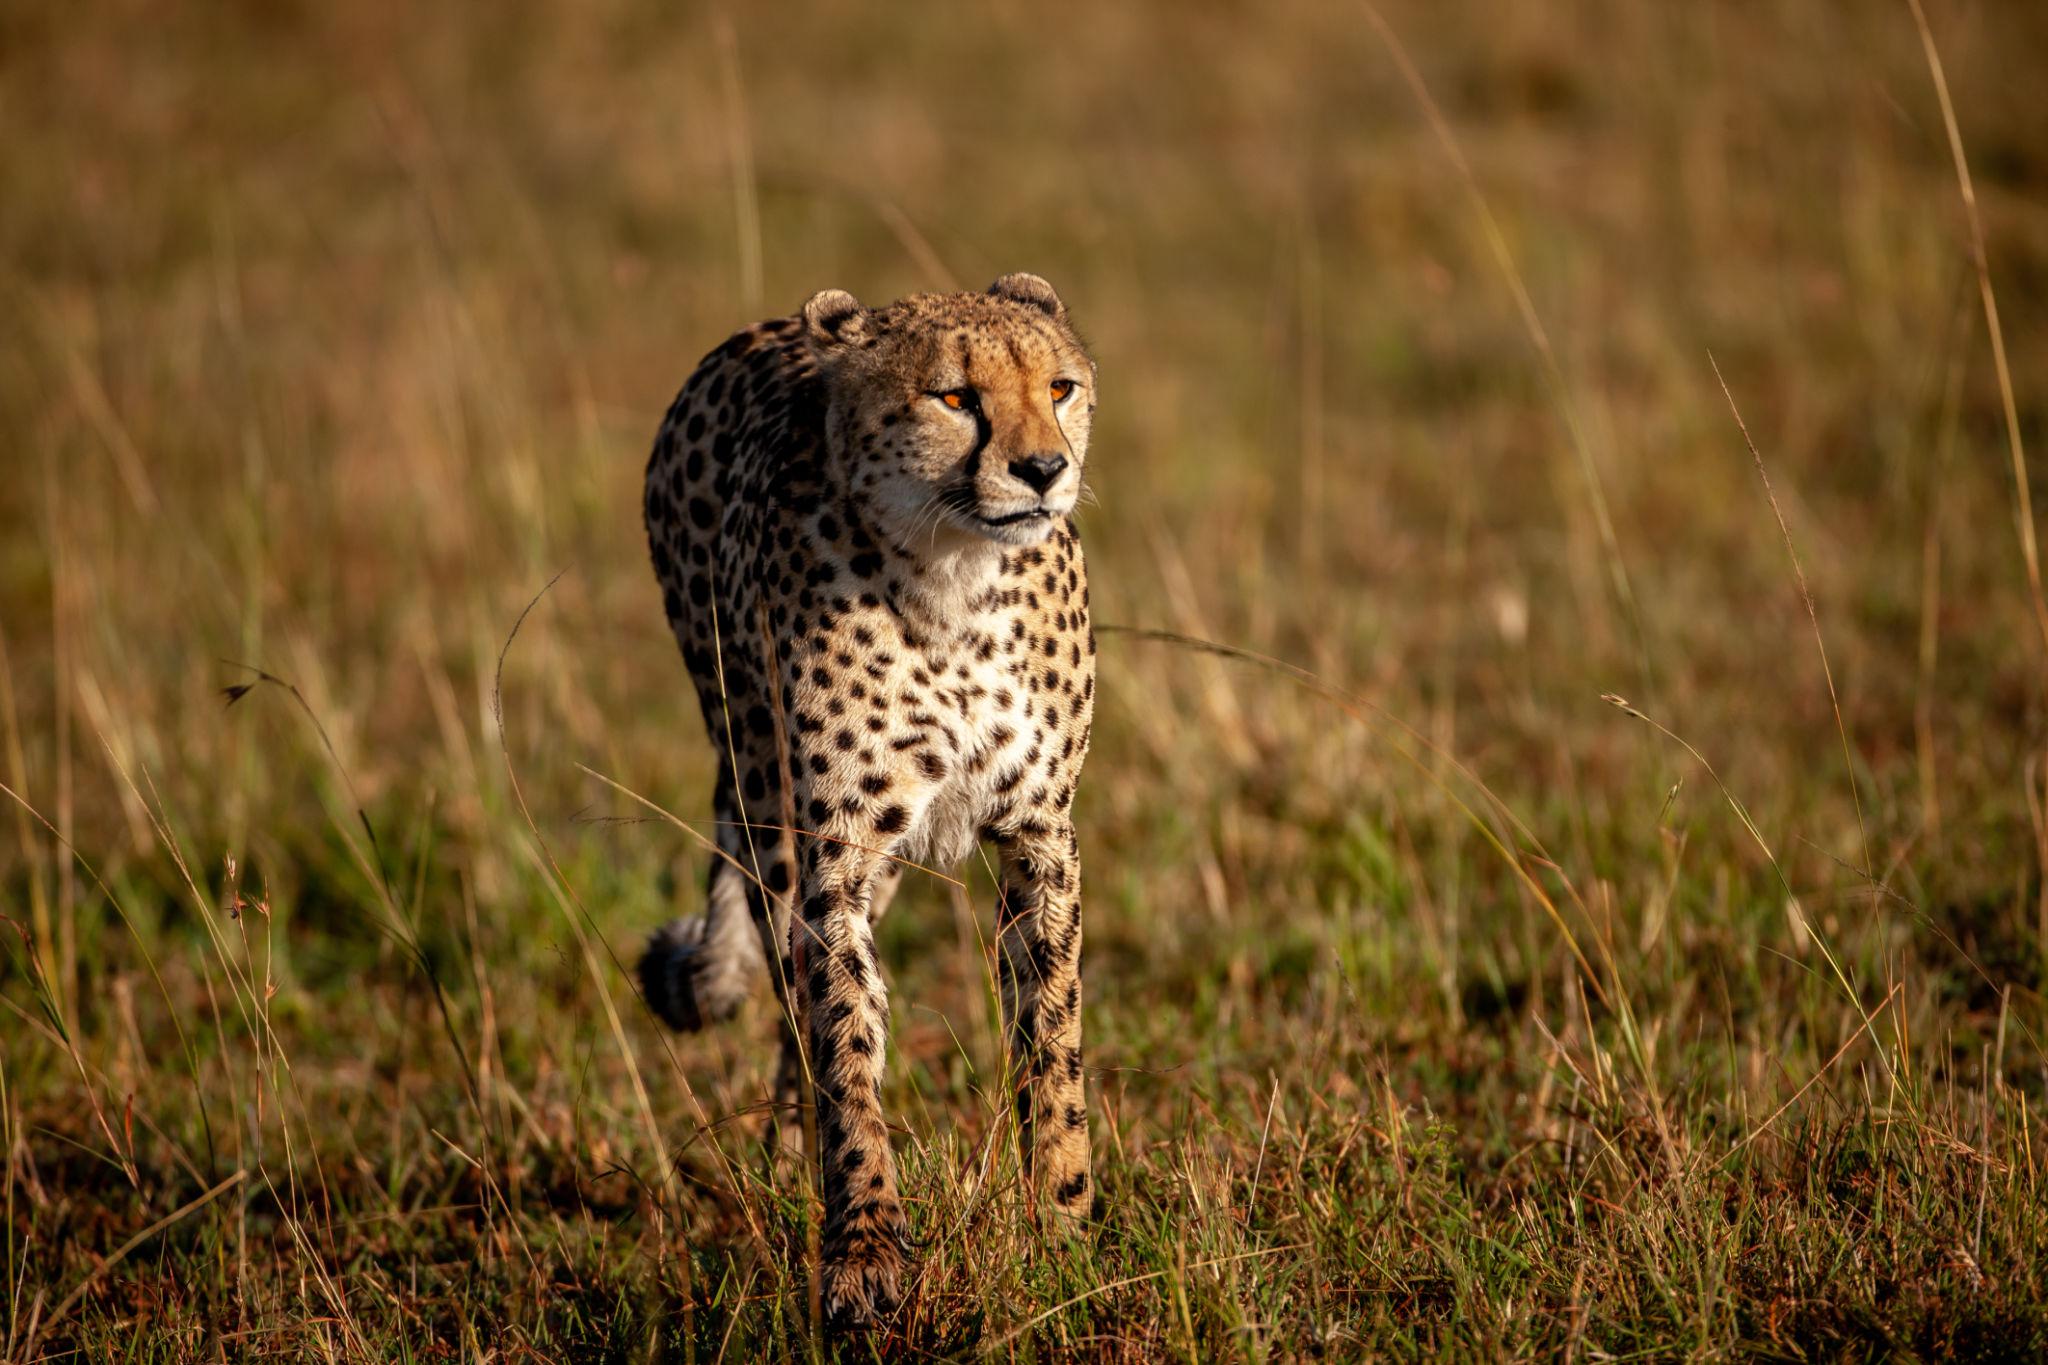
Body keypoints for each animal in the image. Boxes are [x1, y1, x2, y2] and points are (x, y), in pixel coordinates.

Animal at [637, 273, 1099, 1329]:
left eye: (1058, 386)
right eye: (955, 397)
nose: (1044, 469)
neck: (958, 581)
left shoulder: (1041, 835)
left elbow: (1051, 1036)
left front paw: (1063, 1224)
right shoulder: (835, 852)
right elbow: (845, 1033)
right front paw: (864, 1249)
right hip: (761, 786)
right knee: (793, 992)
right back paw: (791, 1164)